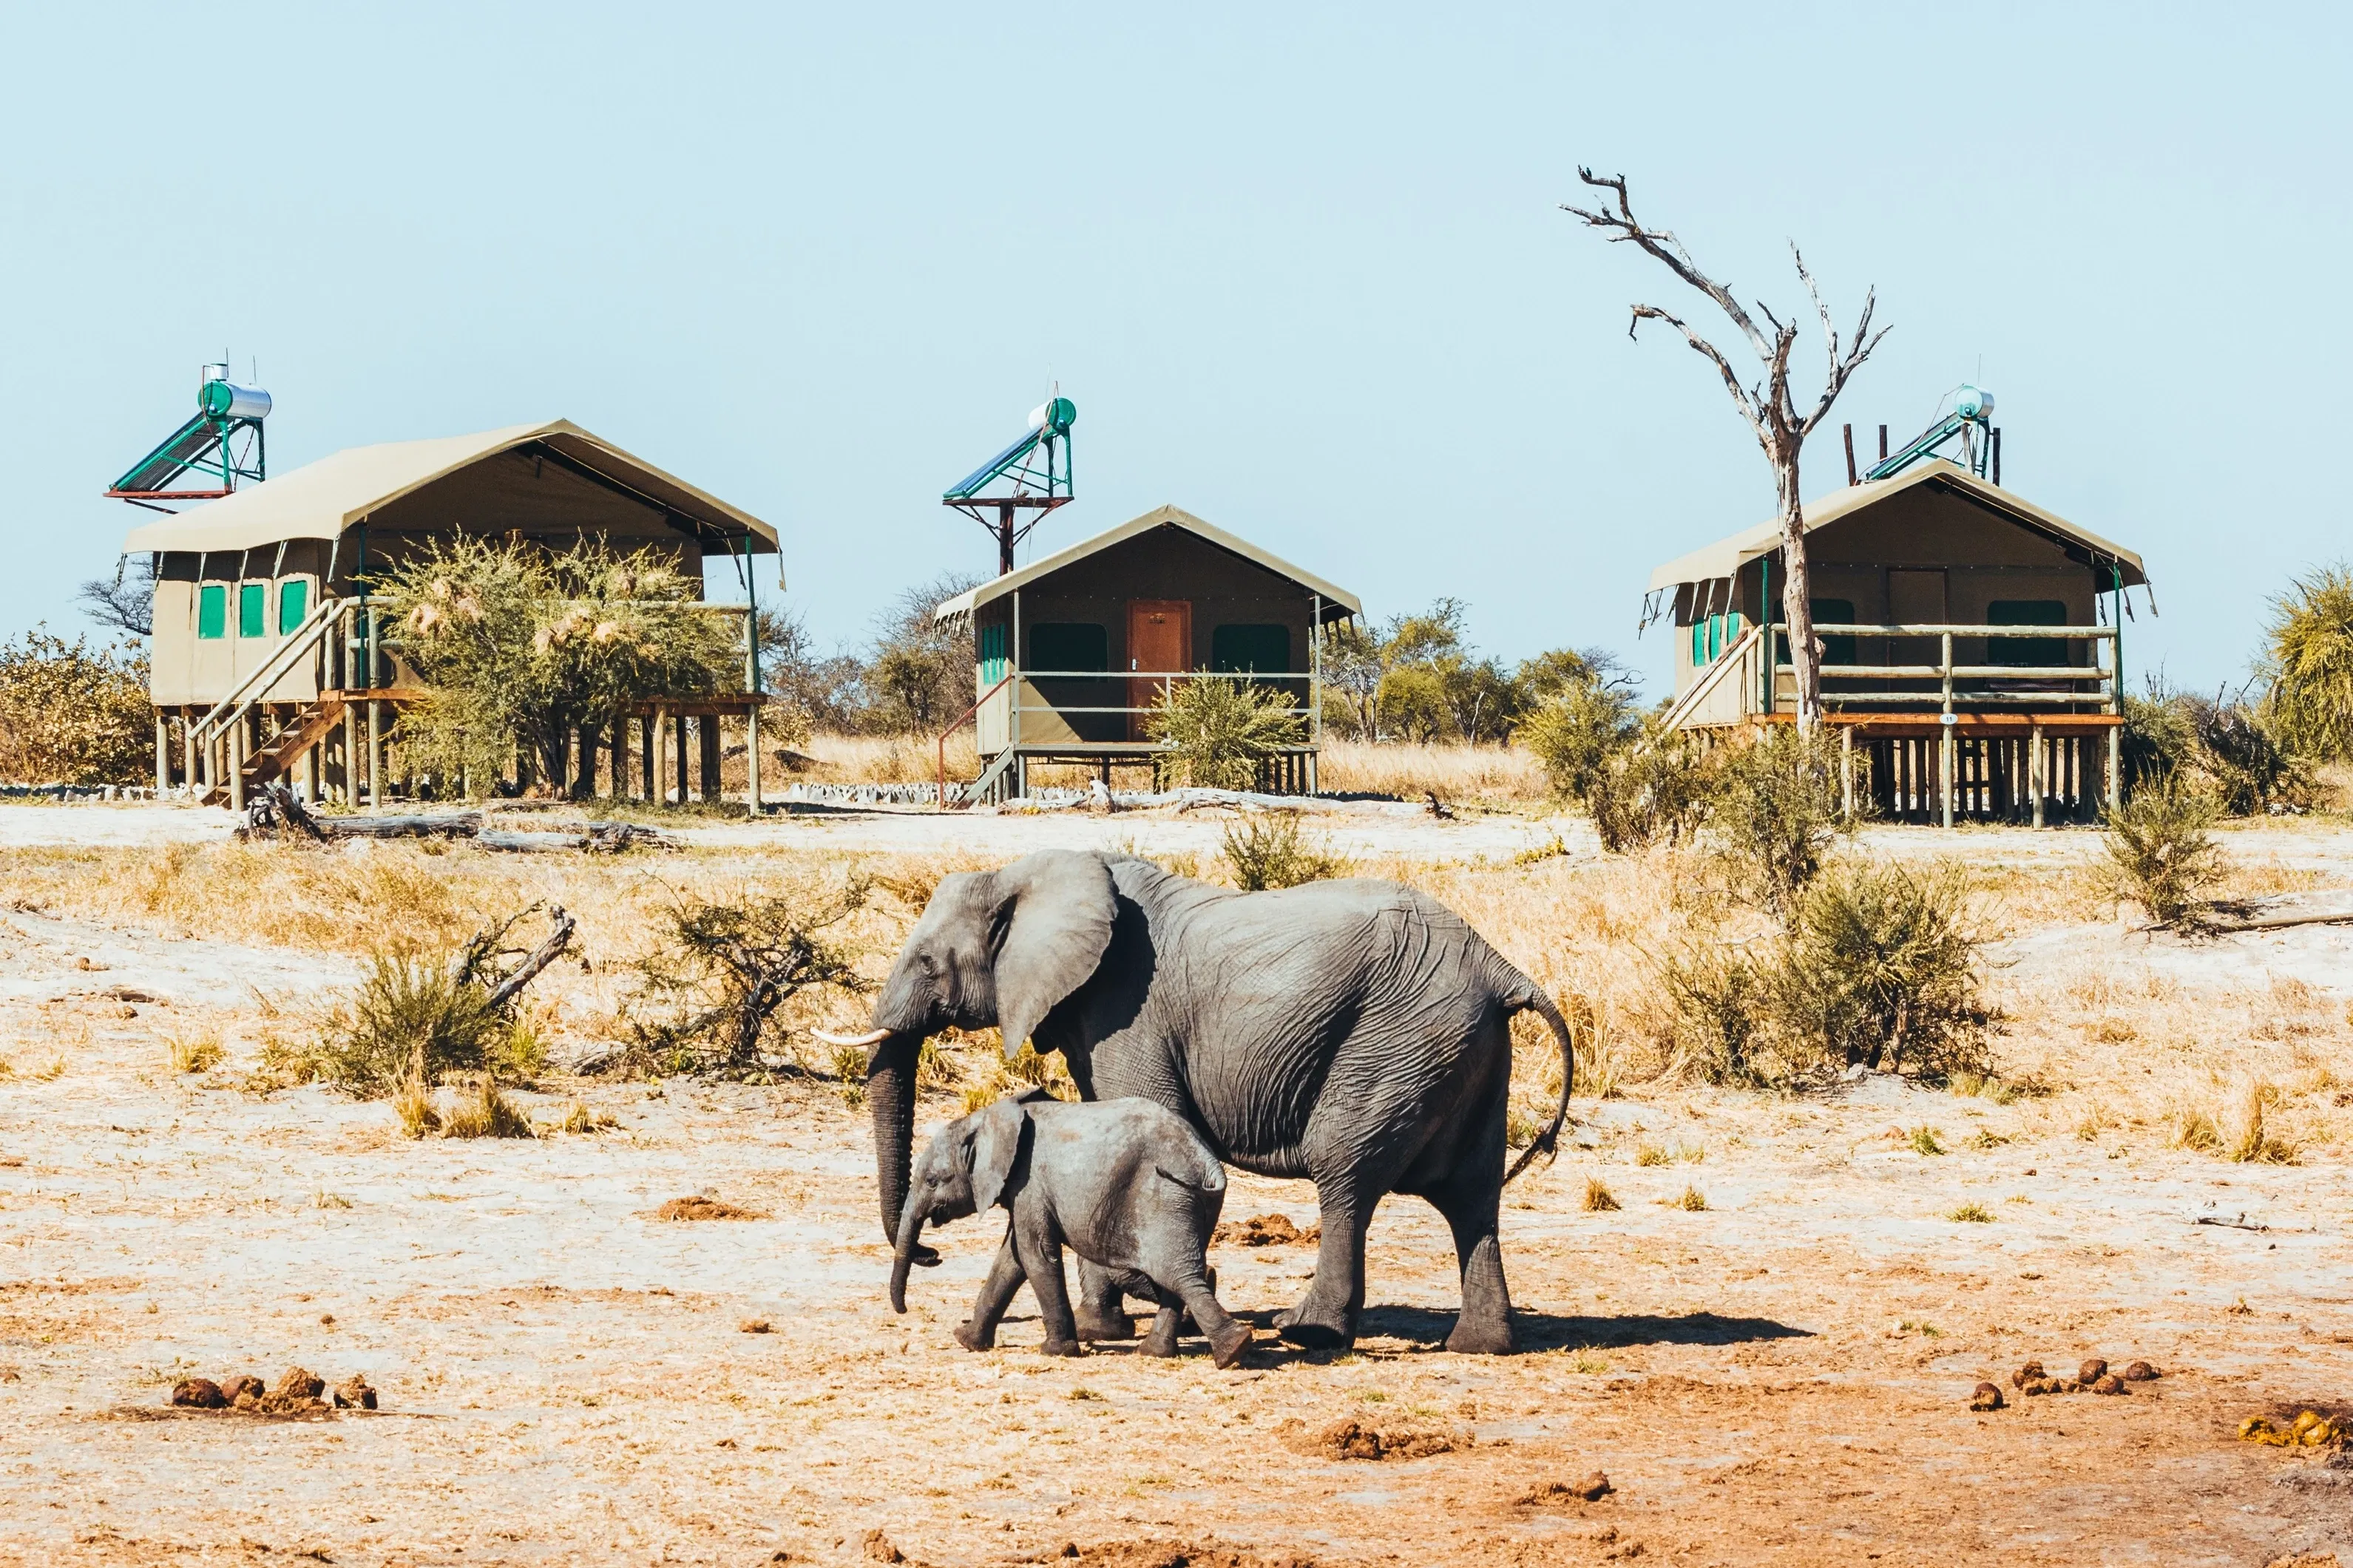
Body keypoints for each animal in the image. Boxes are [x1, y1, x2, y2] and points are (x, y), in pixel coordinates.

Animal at [890, 1092, 1251, 1368]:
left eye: (932, 1181)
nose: (934, 1255)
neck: (985, 1119)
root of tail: (1208, 1163)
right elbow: (1011, 1260)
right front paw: (966, 1341)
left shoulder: (1029, 1183)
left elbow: (1035, 1256)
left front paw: (1056, 1352)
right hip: (1196, 1205)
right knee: (1179, 1273)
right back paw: (1159, 1353)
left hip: (1163, 1197)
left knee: (1174, 1273)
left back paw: (1233, 1350)